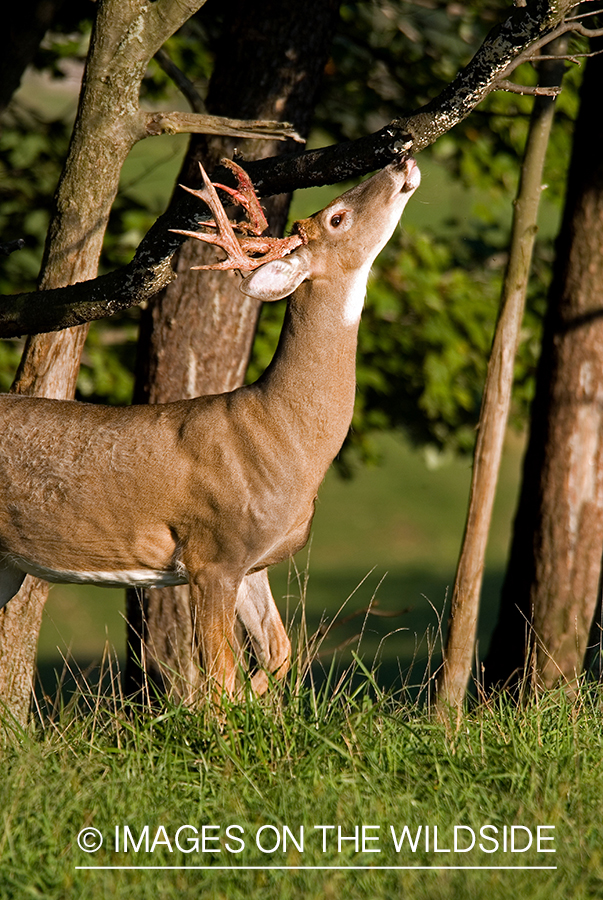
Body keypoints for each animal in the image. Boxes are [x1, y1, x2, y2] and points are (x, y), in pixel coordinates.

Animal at [0, 153, 420, 704]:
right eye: (336, 217)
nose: (402, 158)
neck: (281, 433)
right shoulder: (212, 553)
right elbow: (221, 682)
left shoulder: (251, 562)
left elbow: (279, 652)